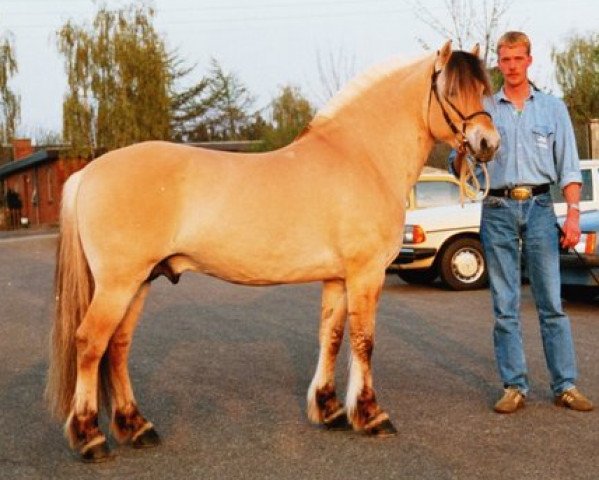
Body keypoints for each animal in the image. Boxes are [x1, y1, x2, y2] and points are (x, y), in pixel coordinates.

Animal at [44, 41, 500, 462]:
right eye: (451, 90)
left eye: (483, 88)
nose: (488, 143)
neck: (361, 158)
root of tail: (88, 172)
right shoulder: (365, 274)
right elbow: (364, 341)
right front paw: (371, 415)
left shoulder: (337, 278)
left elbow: (331, 336)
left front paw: (329, 410)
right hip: (118, 284)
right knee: (90, 344)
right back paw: (91, 437)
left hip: (140, 282)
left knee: (118, 346)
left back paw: (136, 427)